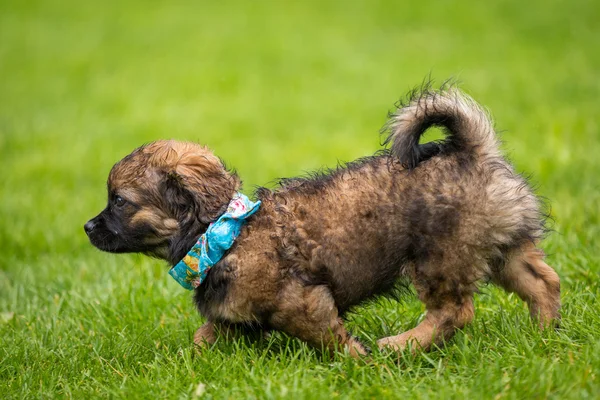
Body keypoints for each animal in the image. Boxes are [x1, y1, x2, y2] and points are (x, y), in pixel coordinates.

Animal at [86, 86, 560, 356]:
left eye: (120, 201)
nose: (88, 228)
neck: (222, 231)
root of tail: (474, 152)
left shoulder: (305, 303)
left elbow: (333, 340)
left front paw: (360, 362)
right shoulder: (231, 317)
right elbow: (204, 339)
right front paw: (188, 364)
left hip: (442, 256)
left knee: (454, 311)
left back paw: (401, 346)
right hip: (501, 246)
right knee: (543, 281)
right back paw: (544, 335)